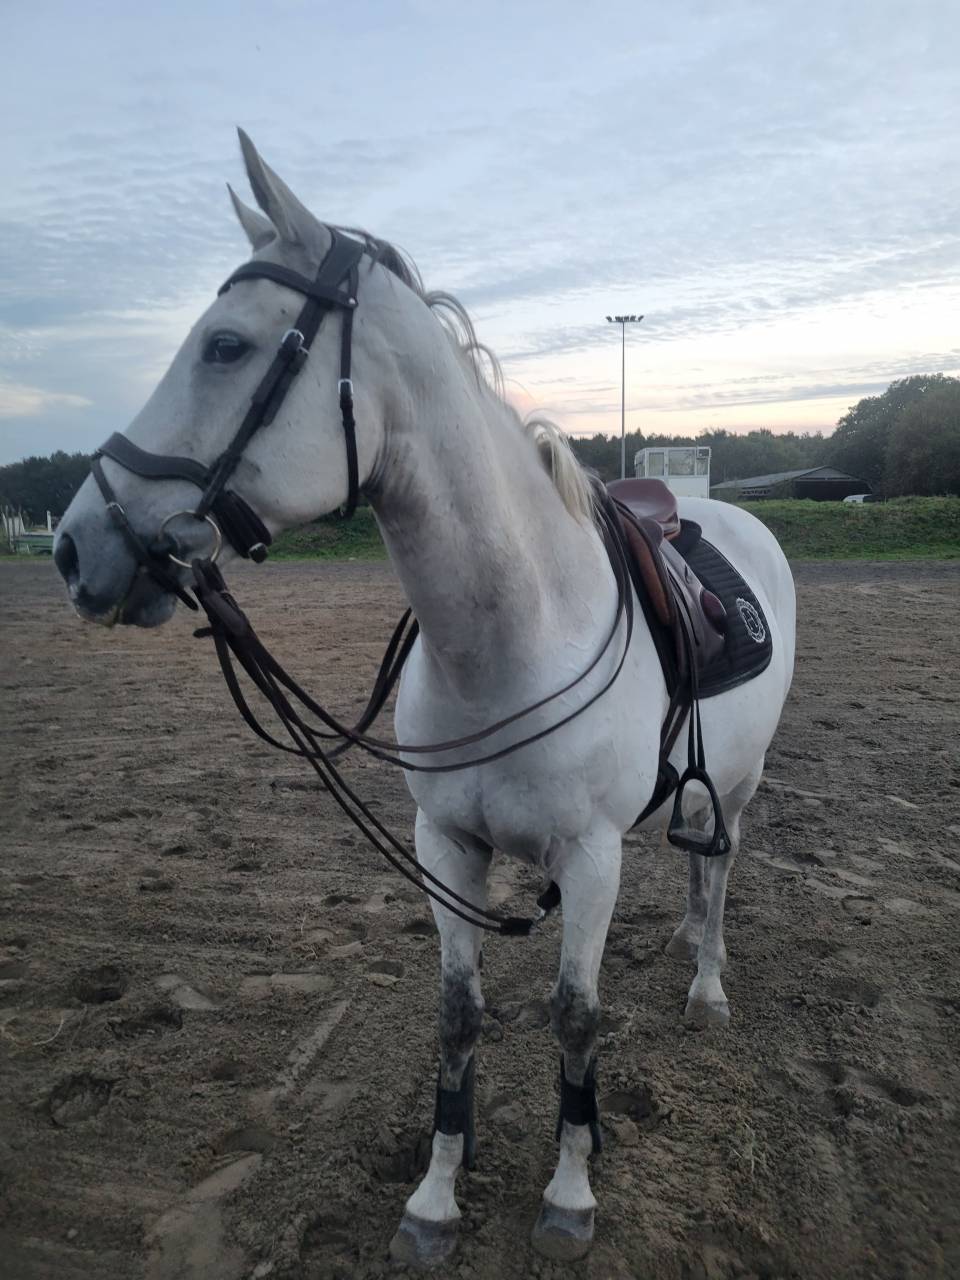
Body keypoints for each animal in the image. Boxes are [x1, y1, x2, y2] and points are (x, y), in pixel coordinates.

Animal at [54, 131, 796, 1268]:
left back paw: (706, 980)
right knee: (694, 867)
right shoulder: (446, 844)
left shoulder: (592, 856)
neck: (513, 634)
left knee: (721, 866)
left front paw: (570, 1191)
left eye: (224, 346)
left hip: (742, 786)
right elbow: (457, 1015)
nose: (73, 545)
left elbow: (576, 1019)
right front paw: (436, 1197)